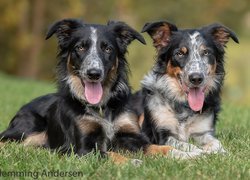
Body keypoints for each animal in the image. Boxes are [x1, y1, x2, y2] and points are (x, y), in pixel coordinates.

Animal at [0, 18, 179, 163]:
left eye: (107, 49)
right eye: (80, 48)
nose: (94, 73)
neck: (101, 108)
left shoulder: (131, 135)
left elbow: (158, 147)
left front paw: (183, 154)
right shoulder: (82, 148)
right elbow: (109, 154)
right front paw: (132, 162)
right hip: (28, 130)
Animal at [139, 20, 238, 155]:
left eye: (206, 52)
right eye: (180, 53)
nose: (196, 78)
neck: (183, 105)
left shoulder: (202, 132)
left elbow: (216, 142)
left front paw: (221, 152)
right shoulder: (162, 135)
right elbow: (186, 145)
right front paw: (199, 153)